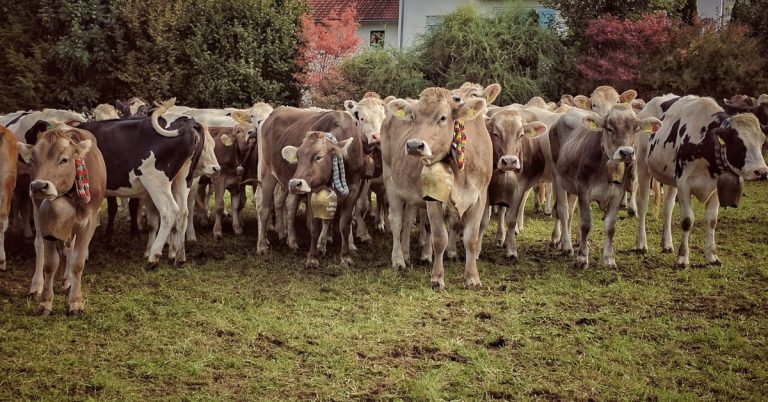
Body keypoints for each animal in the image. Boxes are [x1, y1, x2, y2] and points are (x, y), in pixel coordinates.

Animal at [17, 125, 106, 315]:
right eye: (33, 159)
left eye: (64, 159)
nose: (38, 186)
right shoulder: (47, 222)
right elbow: (50, 263)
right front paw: (45, 302)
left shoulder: (89, 222)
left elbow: (78, 262)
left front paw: (76, 302)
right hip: (37, 213)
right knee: (39, 246)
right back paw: (37, 285)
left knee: (69, 250)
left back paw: (67, 281)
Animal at [257, 107, 364, 268]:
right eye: (298, 156)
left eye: (318, 157)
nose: (294, 183)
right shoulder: (311, 191)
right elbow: (315, 226)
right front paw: (312, 258)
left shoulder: (353, 190)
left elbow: (344, 225)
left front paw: (346, 257)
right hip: (267, 173)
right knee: (264, 209)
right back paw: (262, 245)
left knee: (287, 206)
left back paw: (290, 241)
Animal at [384, 87, 493, 289]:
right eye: (413, 117)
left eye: (443, 117)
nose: (413, 145)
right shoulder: (434, 200)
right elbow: (439, 238)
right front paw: (437, 278)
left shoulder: (480, 197)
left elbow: (471, 239)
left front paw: (472, 278)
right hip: (390, 183)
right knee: (396, 221)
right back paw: (398, 260)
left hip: (413, 197)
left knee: (408, 221)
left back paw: (406, 254)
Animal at [549, 104, 661, 268]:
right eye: (609, 128)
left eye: (635, 129)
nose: (626, 152)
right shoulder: (584, 190)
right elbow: (586, 224)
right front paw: (582, 258)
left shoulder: (618, 194)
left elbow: (610, 226)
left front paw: (609, 259)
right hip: (557, 178)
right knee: (563, 210)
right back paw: (566, 245)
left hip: (571, 187)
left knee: (570, 211)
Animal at [635, 95, 768, 266]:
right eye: (739, 143)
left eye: (762, 141)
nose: (762, 171)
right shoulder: (684, 185)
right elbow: (687, 220)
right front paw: (683, 257)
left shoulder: (715, 189)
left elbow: (712, 220)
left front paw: (711, 255)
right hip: (642, 167)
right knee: (643, 205)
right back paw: (641, 244)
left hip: (671, 179)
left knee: (668, 208)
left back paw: (667, 244)